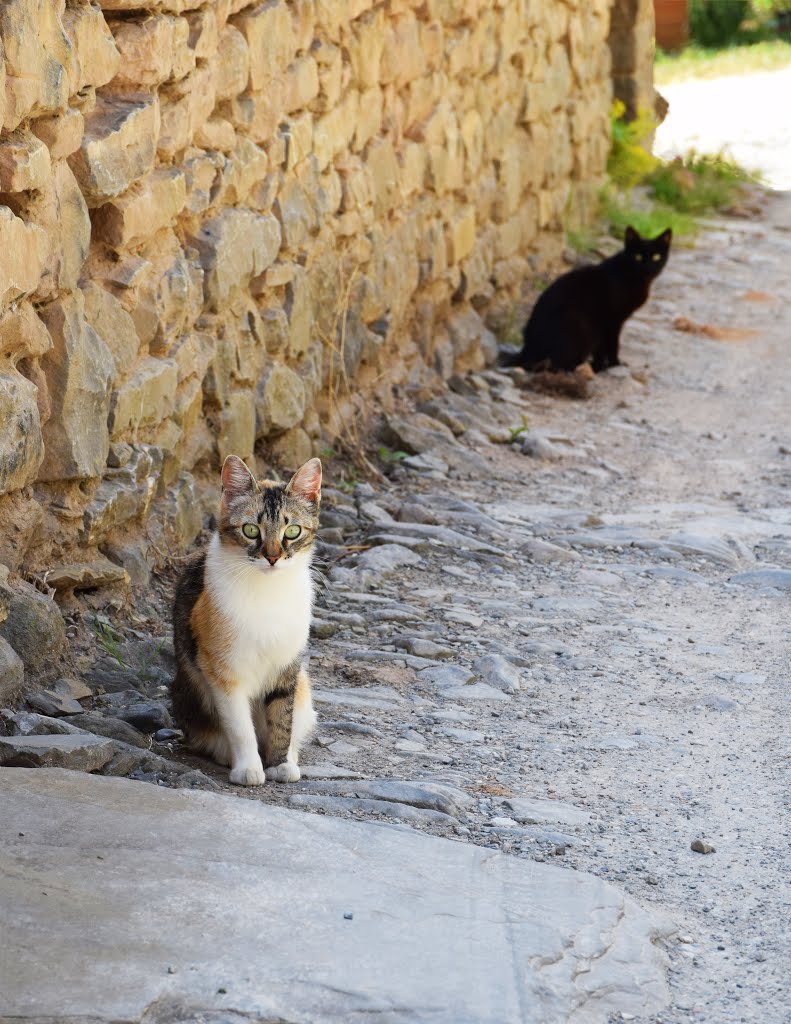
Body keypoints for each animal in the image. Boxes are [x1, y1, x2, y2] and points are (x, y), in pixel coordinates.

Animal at [171, 456, 319, 782]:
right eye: (251, 530)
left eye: (292, 531)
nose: (273, 557)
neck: (267, 592)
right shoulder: (223, 669)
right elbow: (240, 726)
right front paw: (249, 769)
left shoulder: (289, 665)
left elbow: (282, 716)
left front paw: (280, 764)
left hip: (305, 688)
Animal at [504, 226, 672, 374]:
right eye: (637, 256)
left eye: (656, 257)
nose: (648, 267)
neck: (635, 278)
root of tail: (526, 351)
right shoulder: (612, 321)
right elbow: (612, 345)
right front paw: (614, 364)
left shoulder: (605, 324)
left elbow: (601, 349)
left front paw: (601, 365)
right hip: (577, 321)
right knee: (555, 365)